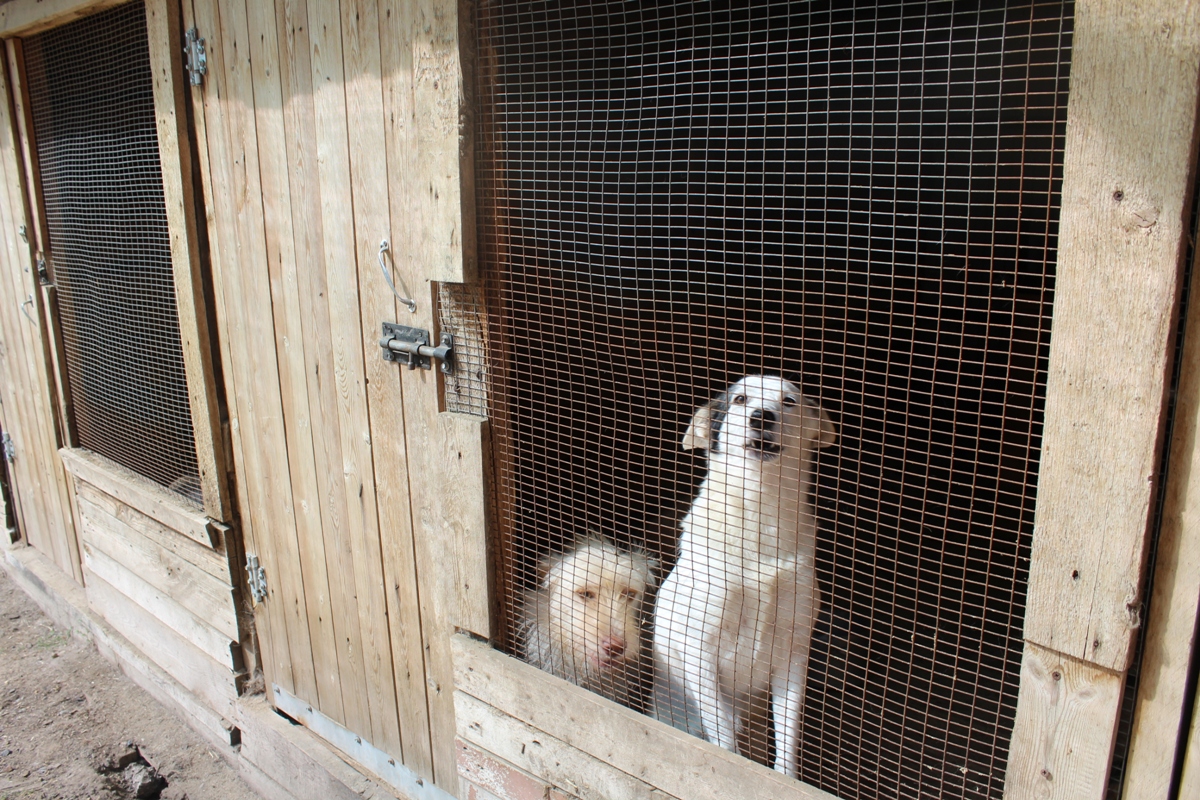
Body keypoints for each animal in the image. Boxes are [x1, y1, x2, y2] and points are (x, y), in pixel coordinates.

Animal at [657, 376, 835, 777]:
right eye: (740, 399)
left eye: (789, 401)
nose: (761, 416)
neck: (760, 512)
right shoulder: (700, 648)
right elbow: (724, 737)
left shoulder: (793, 653)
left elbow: (787, 740)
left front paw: (786, 779)